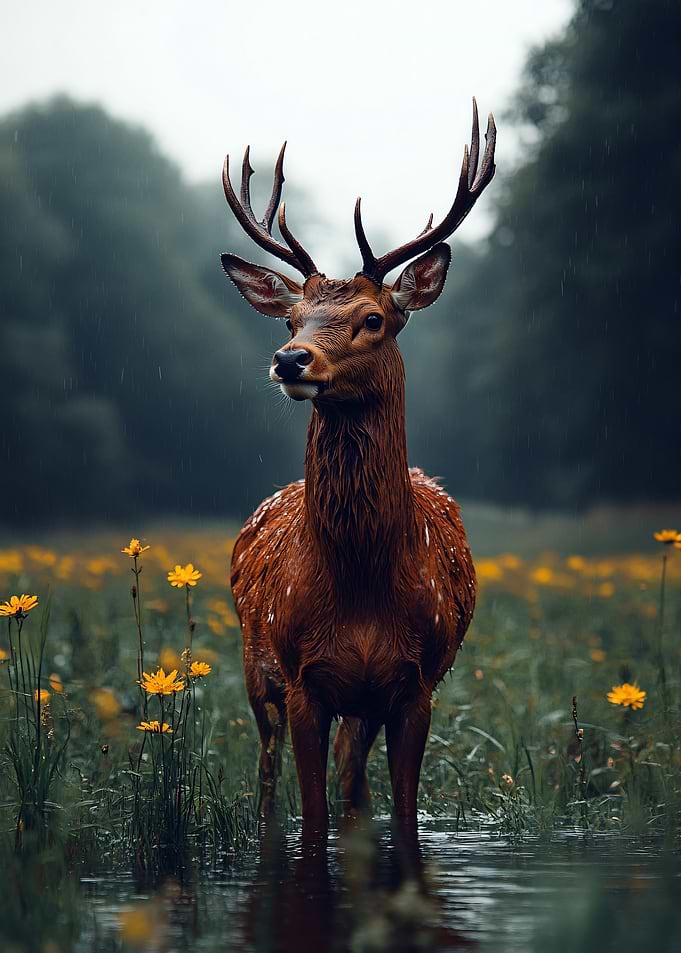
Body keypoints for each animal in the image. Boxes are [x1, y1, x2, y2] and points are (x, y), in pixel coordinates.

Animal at [221, 100, 496, 830]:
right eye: (290, 318)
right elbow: (312, 819)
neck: (362, 593)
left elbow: (398, 813)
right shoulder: (300, 678)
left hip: (361, 704)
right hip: (253, 665)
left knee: (353, 778)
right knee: (267, 774)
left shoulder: (416, 682)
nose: (291, 360)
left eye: (374, 318)